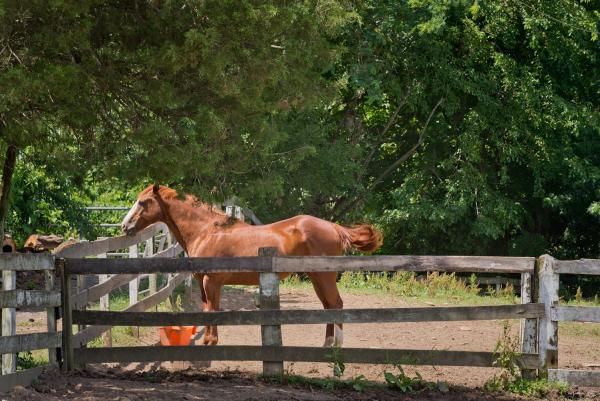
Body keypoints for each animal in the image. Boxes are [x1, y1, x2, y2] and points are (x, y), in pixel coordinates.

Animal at [120, 184, 384, 344]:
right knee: (329, 306)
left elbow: (213, 310)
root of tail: (333, 227)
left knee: (336, 304)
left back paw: (335, 347)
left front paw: (211, 341)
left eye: (143, 202)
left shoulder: (212, 282)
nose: (125, 226)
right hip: (316, 277)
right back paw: (327, 344)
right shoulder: (204, 282)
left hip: (324, 277)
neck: (207, 231)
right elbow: (207, 310)